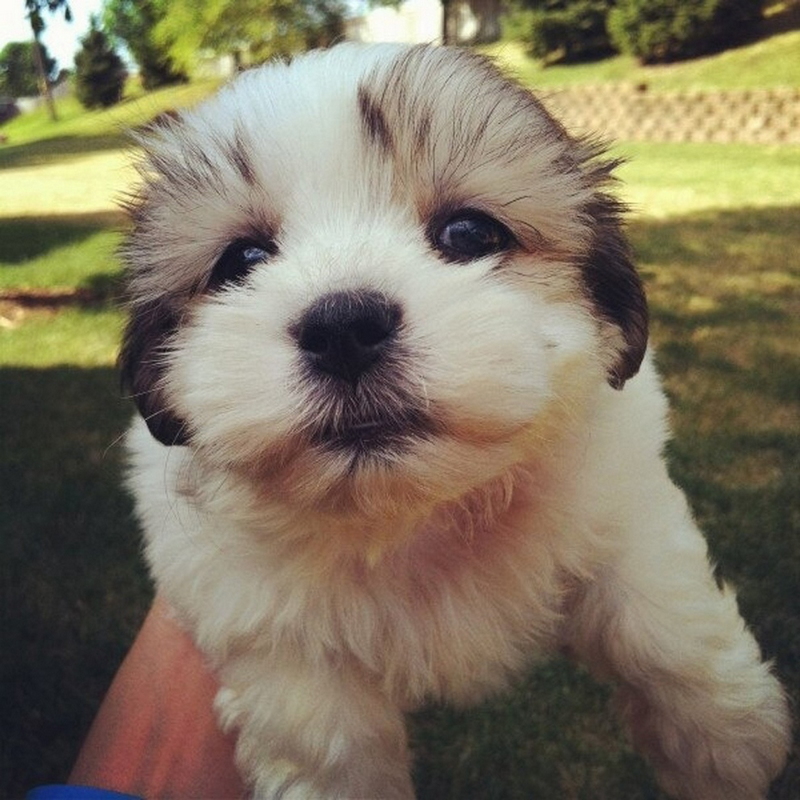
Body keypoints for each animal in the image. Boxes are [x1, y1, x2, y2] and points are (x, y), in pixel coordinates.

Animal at [122, 43, 792, 800]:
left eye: (469, 234)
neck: (417, 513)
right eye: (242, 261)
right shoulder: (248, 611)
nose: (343, 326)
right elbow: (323, 734)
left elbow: (659, 613)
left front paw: (721, 732)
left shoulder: (621, 493)